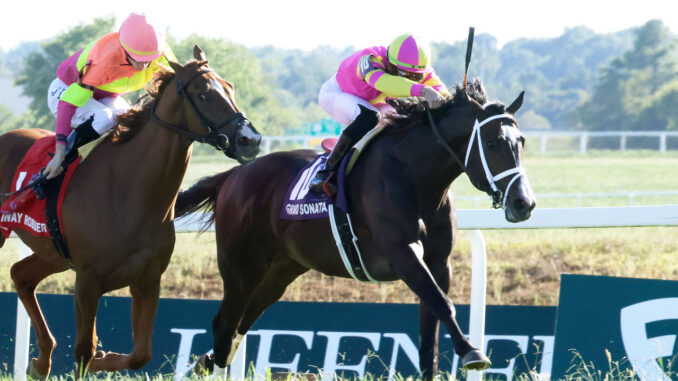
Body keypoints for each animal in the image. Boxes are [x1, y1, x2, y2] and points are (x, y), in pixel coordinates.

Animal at [0, 46, 262, 376]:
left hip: (54, 253)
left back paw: (42, 360)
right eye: (203, 95)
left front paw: (104, 359)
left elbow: (141, 354)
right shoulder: (87, 280)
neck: (128, 190)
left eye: (230, 87)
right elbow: (84, 350)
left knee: (21, 275)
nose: (251, 140)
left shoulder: (147, 280)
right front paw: (96, 358)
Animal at [178, 78, 540, 378]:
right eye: (492, 143)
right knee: (225, 324)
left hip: (280, 271)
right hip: (241, 267)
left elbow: (430, 329)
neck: (414, 177)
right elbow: (443, 304)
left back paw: (205, 361)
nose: (524, 203)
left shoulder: (439, 263)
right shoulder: (401, 254)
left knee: (239, 326)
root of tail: (233, 176)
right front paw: (472, 352)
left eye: (521, 141)